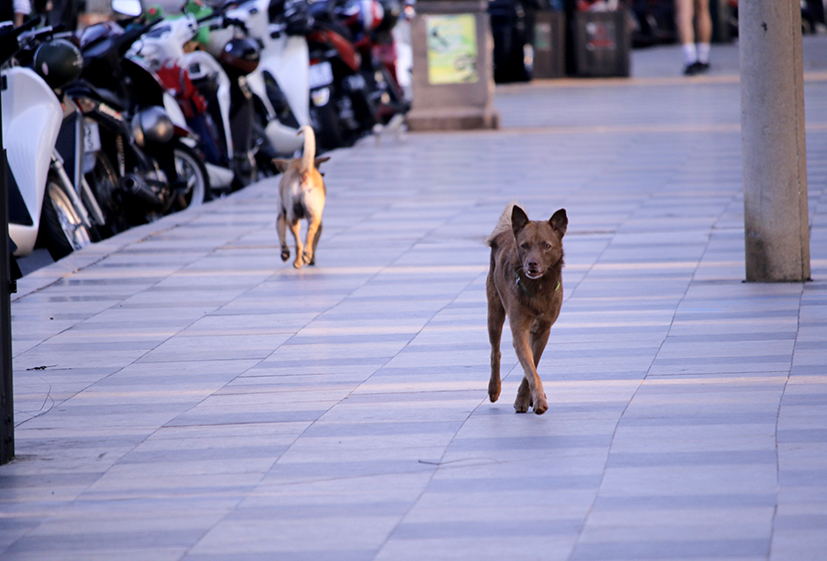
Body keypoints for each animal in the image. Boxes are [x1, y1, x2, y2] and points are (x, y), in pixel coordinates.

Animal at [274, 125, 334, 270]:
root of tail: (304, 172)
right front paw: (310, 258)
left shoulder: (281, 215)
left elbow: (281, 235)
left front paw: (285, 253)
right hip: (311, 217)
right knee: (308, 236)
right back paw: (305, 256)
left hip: (294, 218)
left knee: (299, 242)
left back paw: (299, 261)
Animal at [486, 201, 568, 412]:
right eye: (524, 246)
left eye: (546, 246)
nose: (532, 264)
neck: (537, 289)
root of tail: (506, 231)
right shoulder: (519, 328)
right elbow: (530, 368)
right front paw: (535, 399)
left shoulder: (543, 330)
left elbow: (533, 364)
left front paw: (527, 398)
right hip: (494, 311)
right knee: (495, 352)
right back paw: (494, 389)